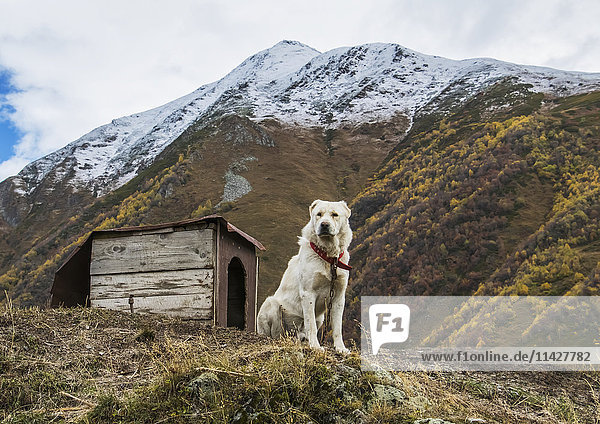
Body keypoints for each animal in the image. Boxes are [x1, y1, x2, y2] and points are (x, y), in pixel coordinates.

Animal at [256, 200, 352, 352]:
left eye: (335, 214)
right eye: (319, 214)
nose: (324, 224)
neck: (329, 258)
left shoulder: (338, 296)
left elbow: (337, 328)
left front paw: (340, 348)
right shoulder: (308, 294)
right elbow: (310, 324)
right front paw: (316, 346)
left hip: (321, 318)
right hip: (271, 304)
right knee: (277, 333)